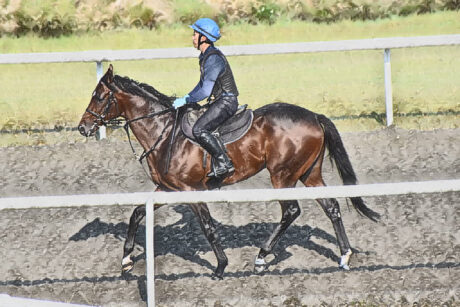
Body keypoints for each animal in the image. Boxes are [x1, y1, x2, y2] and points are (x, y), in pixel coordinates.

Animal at [78, 64, 380, 280]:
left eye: (99, 97)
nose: (83, 128)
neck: (163, 132)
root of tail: (314, 116)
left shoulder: (191, 190)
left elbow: (208, 227)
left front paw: (221, 266)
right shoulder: (168, 188)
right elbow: (137, 213)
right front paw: (126, 260)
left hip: (282, 175)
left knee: (291, 211)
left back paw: (261, 256)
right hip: (309, 174)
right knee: (332, 207)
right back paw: (344, 255)